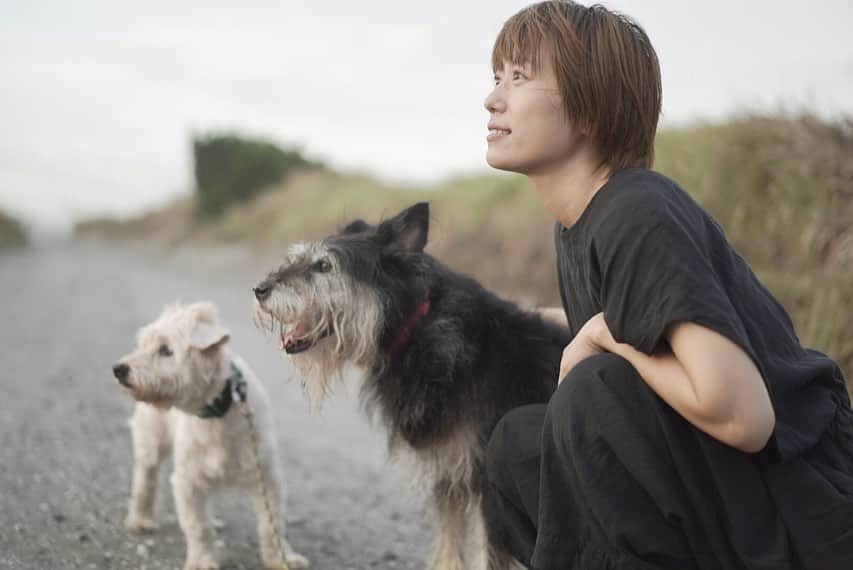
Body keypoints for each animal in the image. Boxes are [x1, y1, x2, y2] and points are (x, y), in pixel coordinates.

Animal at [111, 300, 308, 564]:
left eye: (166, 350)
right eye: (143, 344)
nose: (119, 369)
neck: (216, 411)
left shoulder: (267, 477)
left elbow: (272, 524)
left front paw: (281, 559)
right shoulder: (187, 481)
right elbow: (198, 526)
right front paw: (202, 561)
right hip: (151, 439)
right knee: (146, 478)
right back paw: (141, 520)